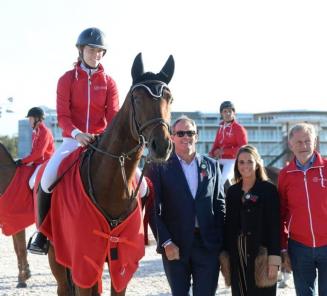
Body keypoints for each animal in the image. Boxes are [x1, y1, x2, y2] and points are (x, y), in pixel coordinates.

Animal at [44, 52, 176, 294]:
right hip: (57, 260)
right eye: (137, 98)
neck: (111, 187)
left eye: (169, 99)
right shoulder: (83, 262)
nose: (161, 146)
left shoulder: (120, 262)